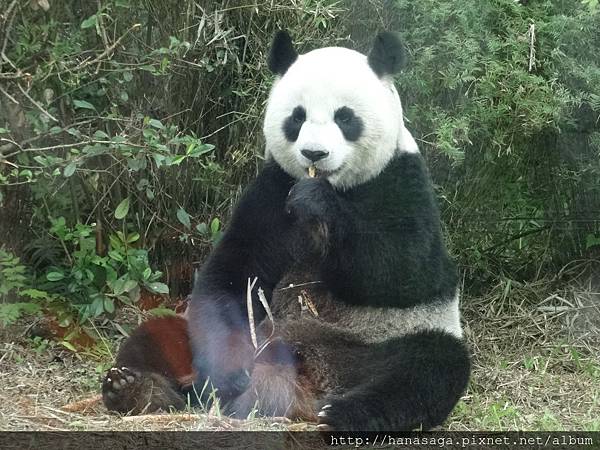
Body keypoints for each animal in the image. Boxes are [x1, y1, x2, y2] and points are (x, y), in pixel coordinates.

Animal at [101, 29, 472, 430]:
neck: (338, 185)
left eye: (345, 117)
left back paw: (342, 414)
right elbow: (231, 274)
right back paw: (136, 390)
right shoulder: (272, 191)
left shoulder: (402, 181)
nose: (314, 154)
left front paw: (318, 203)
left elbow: (410, 270)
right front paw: (227, 373)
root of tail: (306, 383)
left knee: (427, 370)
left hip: (384, 340)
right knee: (159, 334)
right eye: (297, 117)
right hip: (230, 340)